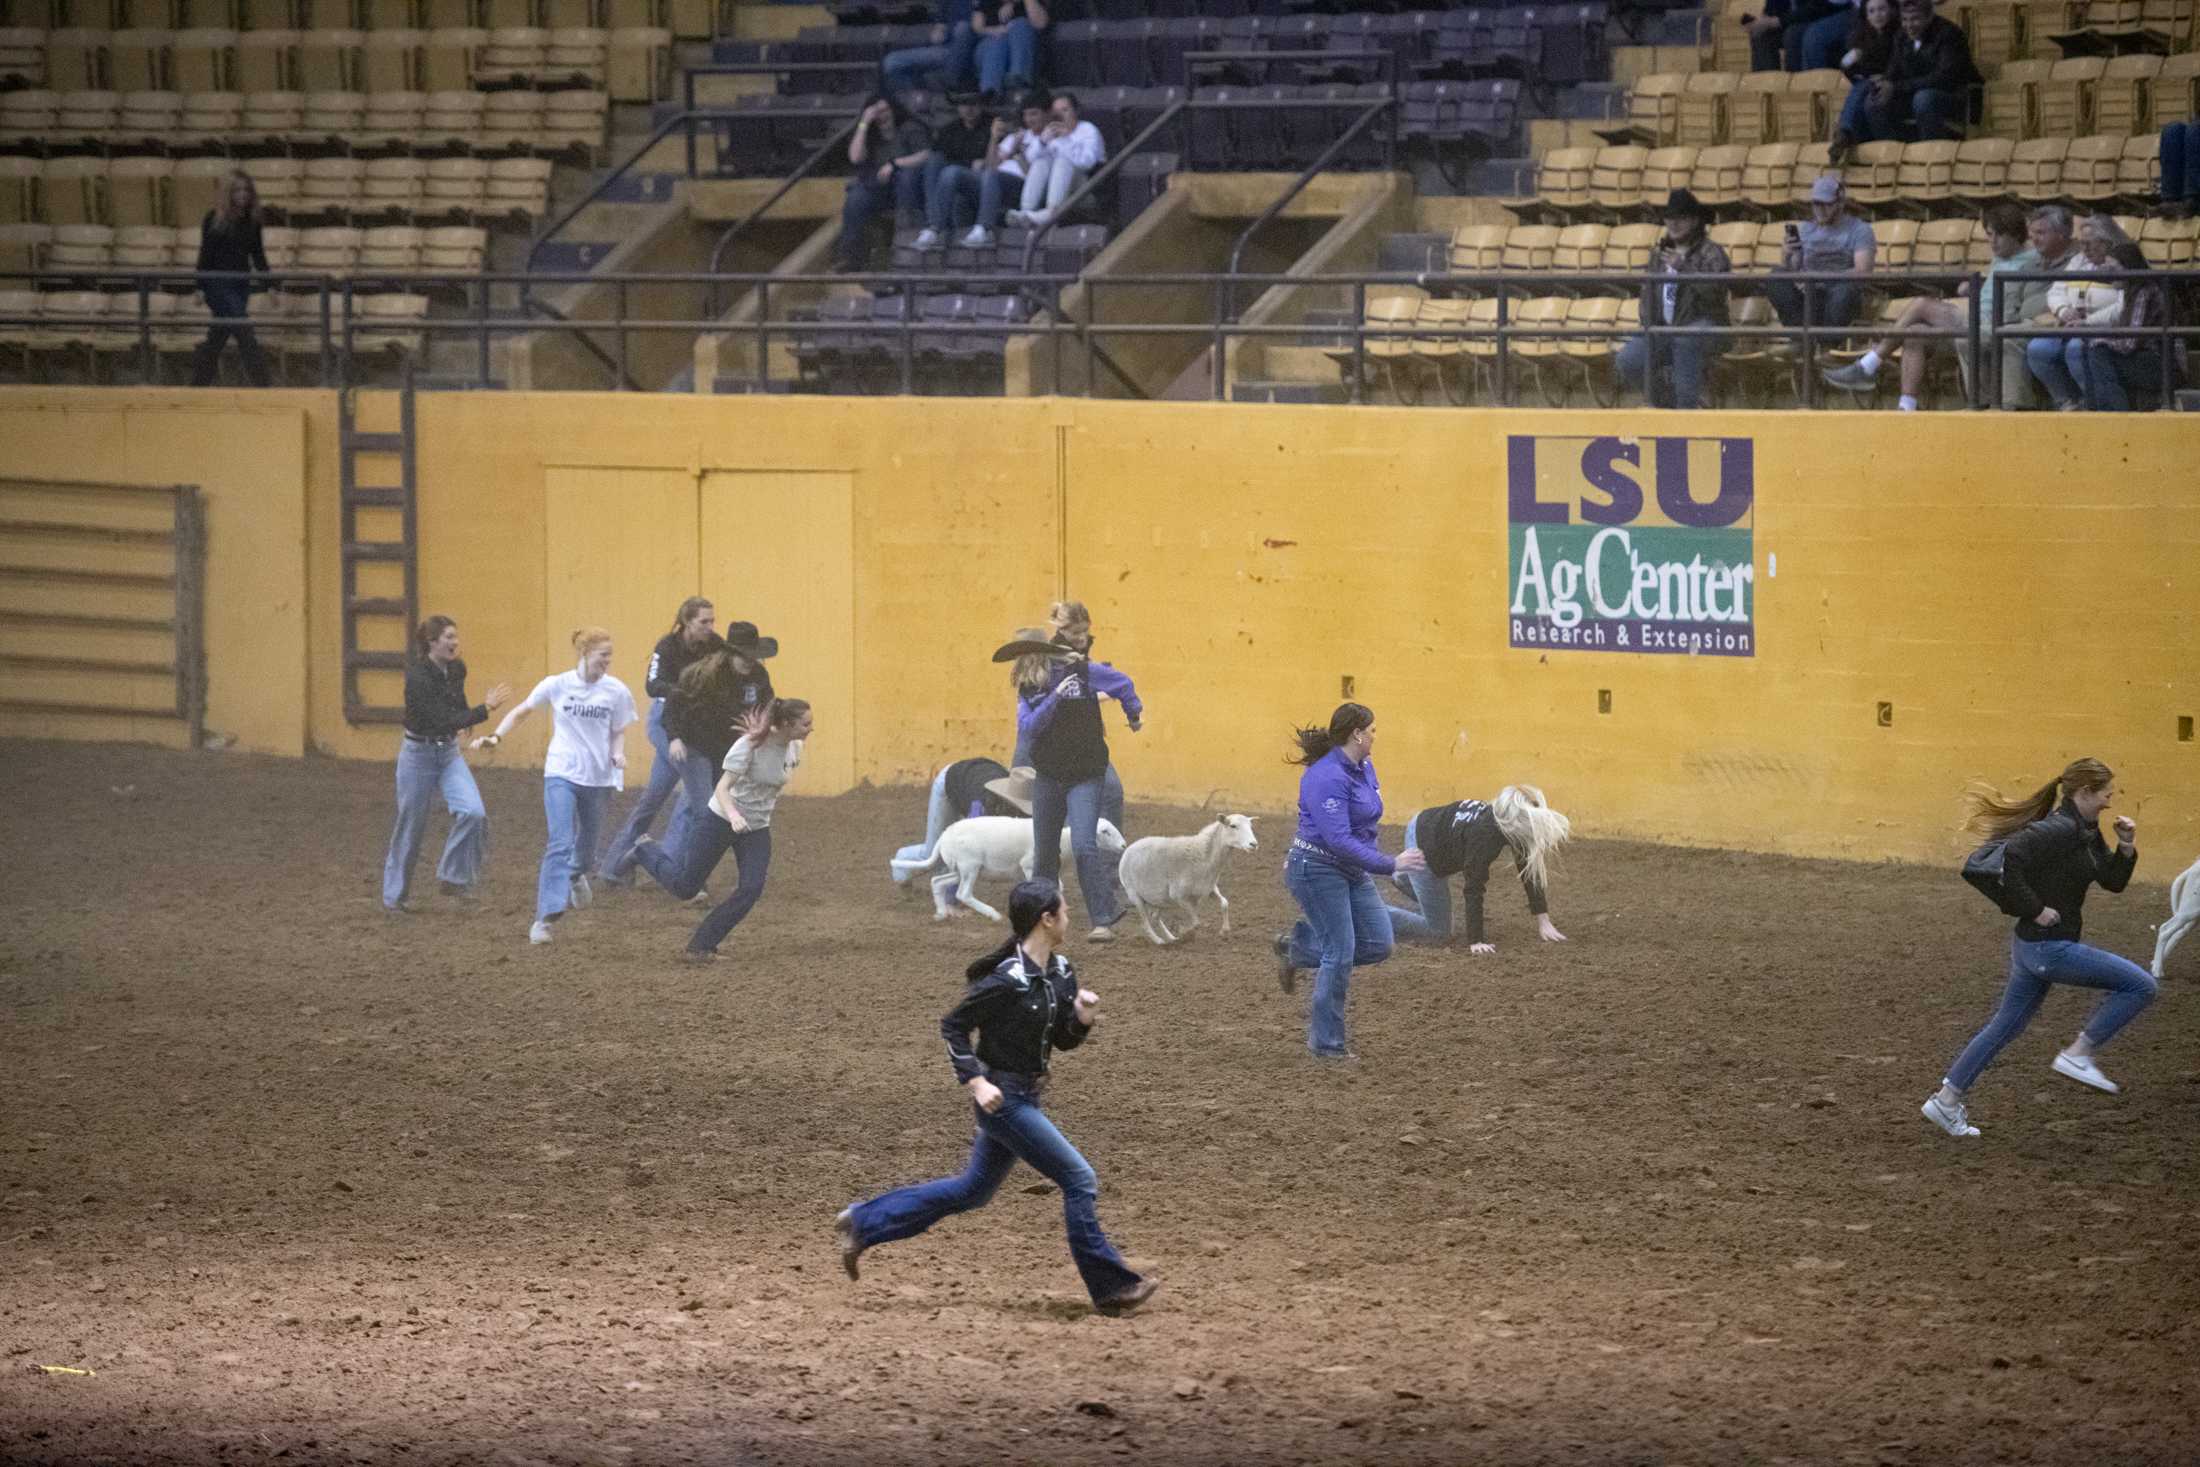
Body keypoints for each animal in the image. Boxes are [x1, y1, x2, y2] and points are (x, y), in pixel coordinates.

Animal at [1117, 809, 1258, 945]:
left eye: (1250, 826)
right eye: (1233, 826)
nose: (1254, 844)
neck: (1204, 856)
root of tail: (1131, 847)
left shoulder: (1209, 889)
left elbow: (1224, 903)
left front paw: (1224, 929)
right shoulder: (1179, 897)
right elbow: (1196, 922)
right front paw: (1185, 932)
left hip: (1158, 898)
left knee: (1155, 917)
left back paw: (1171, 938)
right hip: (1134, 894)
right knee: (1145, 923)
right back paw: (1159, 940)